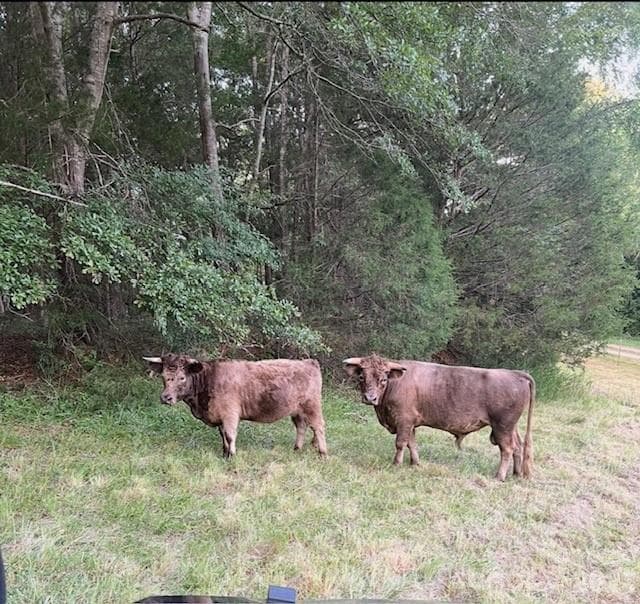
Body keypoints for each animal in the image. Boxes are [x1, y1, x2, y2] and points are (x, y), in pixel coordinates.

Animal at [144, 354, 328, 459]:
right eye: (163, 375)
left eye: (182, 377)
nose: (166, 397)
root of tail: (308, 362)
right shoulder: (220, 417)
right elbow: (223, 436)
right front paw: (225, 454)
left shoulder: (230, 414)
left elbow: (230, 435)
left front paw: (232, 456)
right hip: (297, 411)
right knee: (301, 427)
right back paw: (296, 449)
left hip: (312, 406)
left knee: (318, 427)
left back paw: (322, 453)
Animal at [343, 354, 534, 480]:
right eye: (361, 376)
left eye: (383, 379)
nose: (370, 398)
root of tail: (516, 373)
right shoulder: (411, 423)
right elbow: (412, 444)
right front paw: (415, 463)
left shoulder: (403, 420)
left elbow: (400, 443)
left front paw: (396, 464)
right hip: (510, 427)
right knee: (518, 447)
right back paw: (516, 474)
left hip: (502, 426)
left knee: (507, 449)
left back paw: (499, 476)